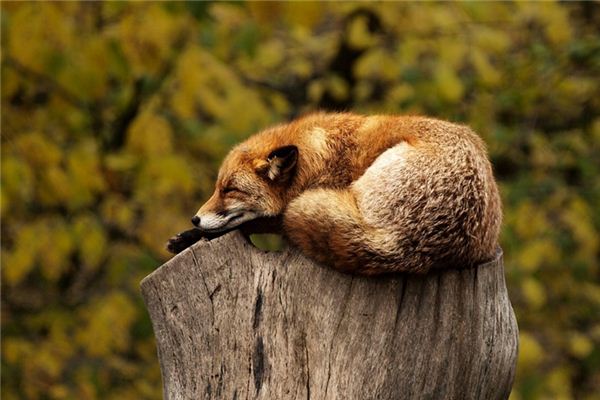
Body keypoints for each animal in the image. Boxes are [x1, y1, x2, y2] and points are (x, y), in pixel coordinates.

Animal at [168, 112, 502, 276]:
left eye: (230, 190)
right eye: (217, 188)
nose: (195, 218)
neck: (319, 157)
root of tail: (407, 245)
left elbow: (260, 222)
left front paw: (192, 236)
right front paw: (187, 236)